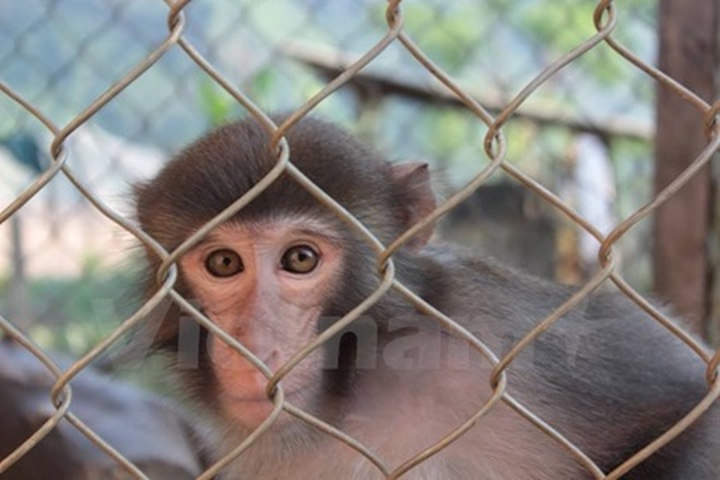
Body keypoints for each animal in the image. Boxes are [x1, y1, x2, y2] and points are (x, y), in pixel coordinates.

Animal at [133, 115, 719, 479]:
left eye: (299, 259)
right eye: (223, 264)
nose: (254, 341)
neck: (355, 391)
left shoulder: (493, 328)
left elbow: (693, 393)